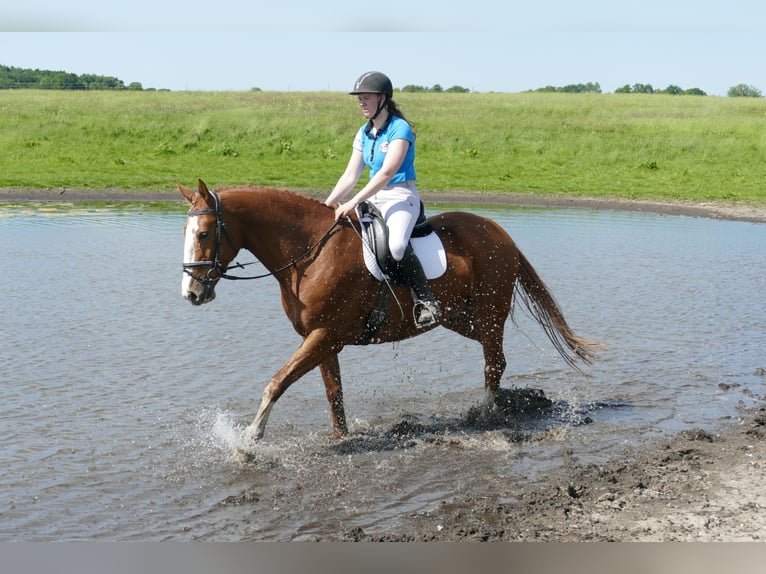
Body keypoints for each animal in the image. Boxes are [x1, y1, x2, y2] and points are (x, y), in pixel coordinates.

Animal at [179, 179, 600, 452]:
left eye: (203, 234)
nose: (192, 293)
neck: (311, 252)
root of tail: (500, 233)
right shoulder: (321, 339)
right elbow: (334, 392)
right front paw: (343, 438)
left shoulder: (325, 335)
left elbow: (277, 383)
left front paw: (248, 442)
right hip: (461, 318)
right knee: (492, 357)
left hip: (489, 313)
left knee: (494, 361)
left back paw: (482, 415)